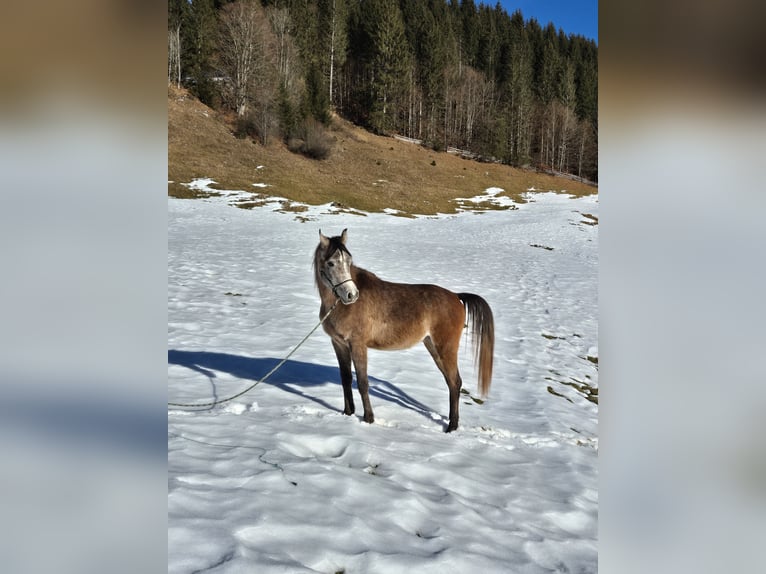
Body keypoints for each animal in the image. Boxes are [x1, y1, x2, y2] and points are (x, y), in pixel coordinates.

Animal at [314, 230, 498, 432]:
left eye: (349, 261)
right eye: (331, 263)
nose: (351, 295)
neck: (341, 306)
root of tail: (456, 297)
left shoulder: (358, 345)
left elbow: (362, 383)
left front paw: (368, 419)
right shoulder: (339, 344)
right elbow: (346, 380)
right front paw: (347, 414)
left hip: (446, 349)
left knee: (455, 382)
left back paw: (452, 427)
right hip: (433, 347)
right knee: (452, 383)